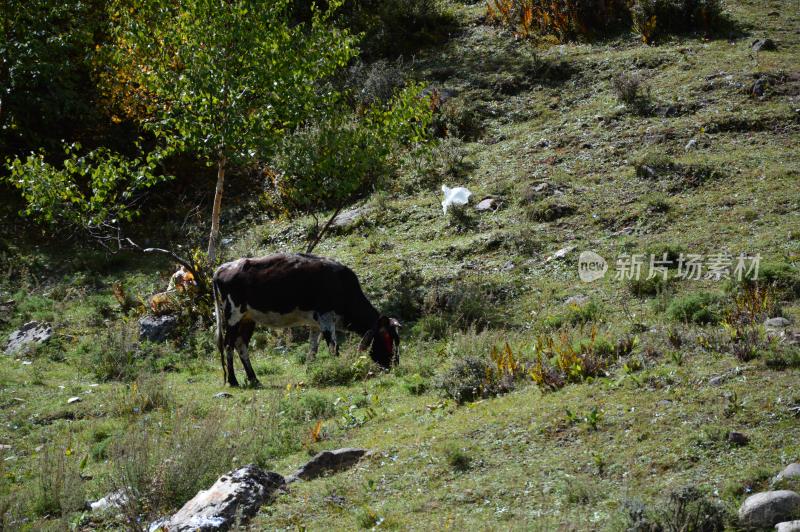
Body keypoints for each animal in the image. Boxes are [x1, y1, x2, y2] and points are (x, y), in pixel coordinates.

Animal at [212, 254, 400, 386]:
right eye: (387, 338)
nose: (394, 365)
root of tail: (223, 267)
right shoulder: (325, 317)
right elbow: (333, 348)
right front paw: (337, 370)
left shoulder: (316, 323)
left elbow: (313, 349)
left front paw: (311, 370)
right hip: (232, 315)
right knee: (228, 345)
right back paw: (233, 381)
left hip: (247, 318)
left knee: (241, 344)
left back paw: (254, 379)